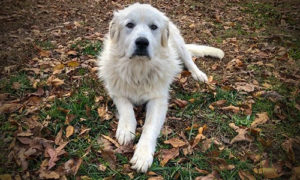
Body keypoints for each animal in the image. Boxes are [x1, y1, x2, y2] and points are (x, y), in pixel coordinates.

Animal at [97, 2, 224, 172]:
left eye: (153, 27)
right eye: (130, 25)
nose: (142, 42)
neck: (138, 68)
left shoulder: (158, 100)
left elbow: (149, 127)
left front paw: (142, 155)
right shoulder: (116, 91)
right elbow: (126, 108)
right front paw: (125, 129)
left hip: (179, 44)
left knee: (189, 61)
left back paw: (198, 74)